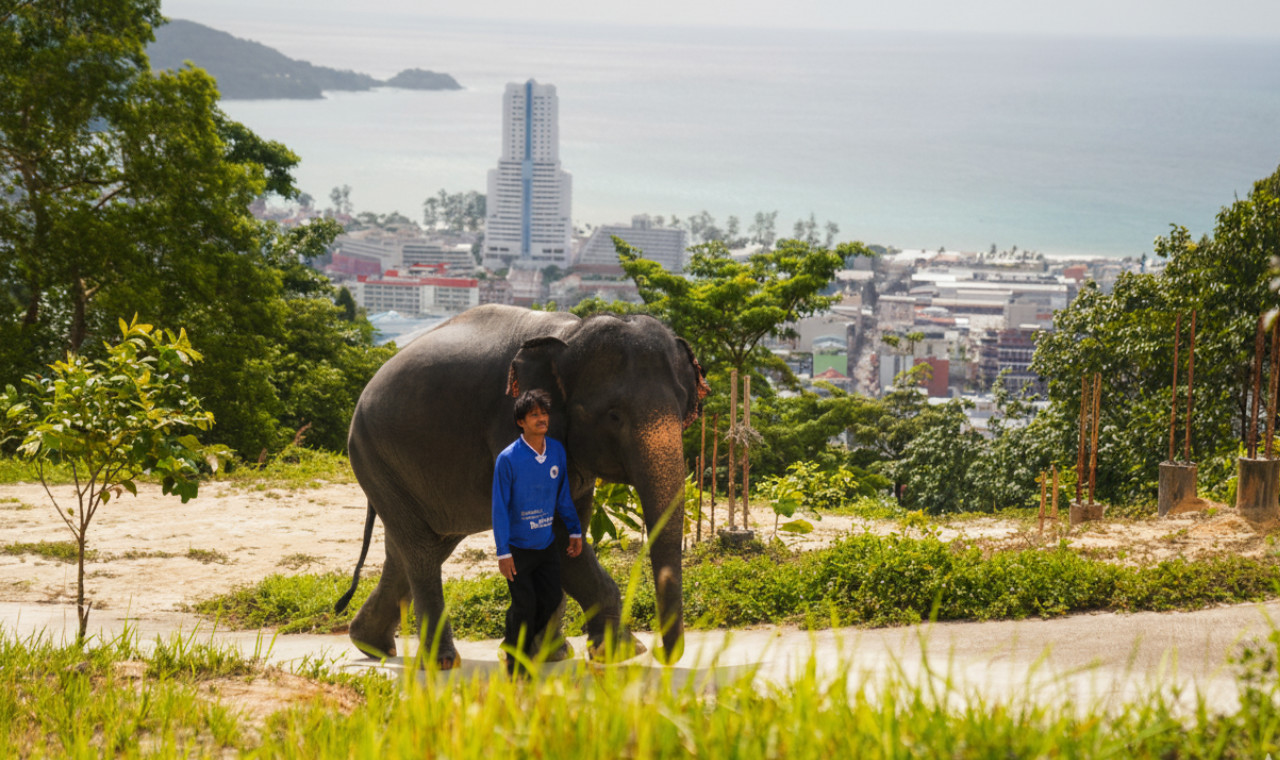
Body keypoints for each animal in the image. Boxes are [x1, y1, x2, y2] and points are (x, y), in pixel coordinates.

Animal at [334, 304, 707, 667]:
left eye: (683, 409)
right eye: (614, 416)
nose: (663, 655)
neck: (570, 335)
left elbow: (569, 527)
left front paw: (554, 655)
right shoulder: (508, 424)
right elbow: (558, 538)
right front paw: (624, 652)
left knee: (416, 547)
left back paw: (371, 645)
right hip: (374, 458)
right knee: (421, 551)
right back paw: (441, 663)